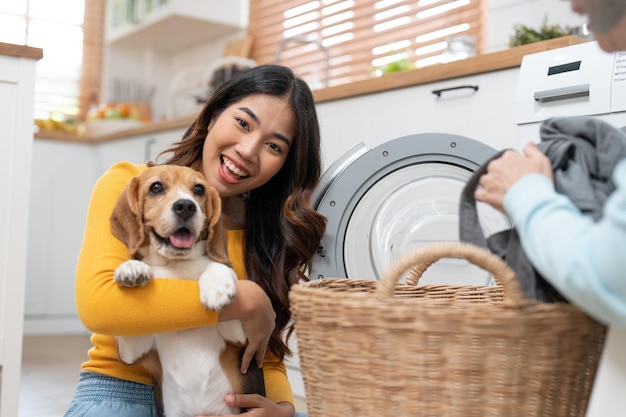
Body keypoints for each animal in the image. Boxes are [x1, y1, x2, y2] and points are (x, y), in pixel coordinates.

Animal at [109, 164, 264, 416]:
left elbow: (216, 265)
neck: (176, 265)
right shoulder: (135, 351)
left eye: (199, 189)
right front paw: (131, 268)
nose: (186, 206)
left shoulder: (241, 339)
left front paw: (217, 289)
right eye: (156, 187)